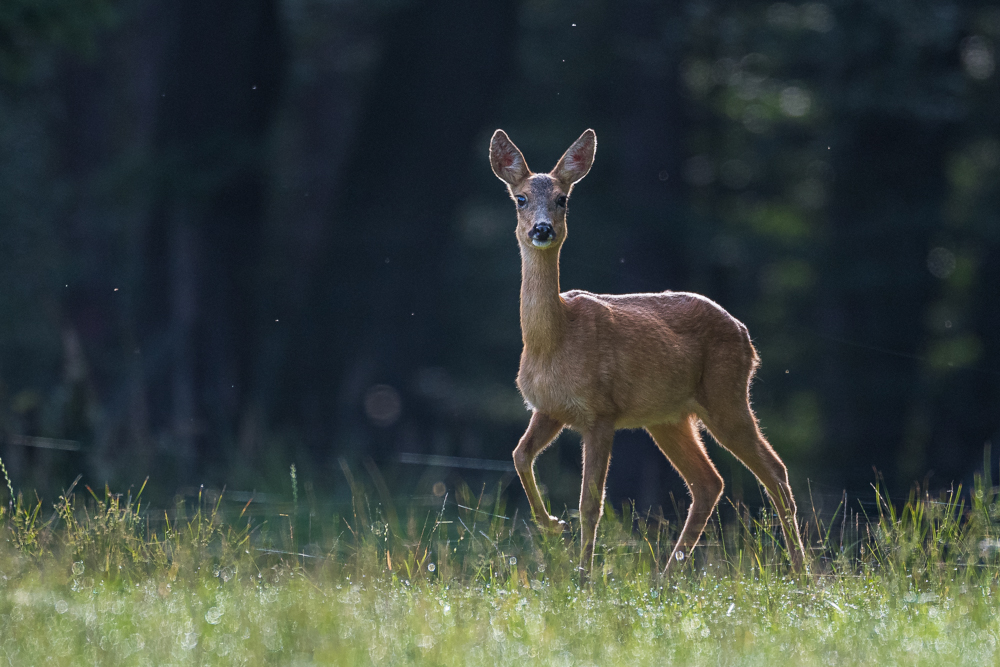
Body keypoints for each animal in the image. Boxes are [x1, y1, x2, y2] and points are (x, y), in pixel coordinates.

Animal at [492, 129, 812, 580]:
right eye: (520, 197)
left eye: (563, 199)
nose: (542, 229)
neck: (553, 340)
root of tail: (746, 335)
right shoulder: (549, 408)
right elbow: (520, 455)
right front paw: (551, 525)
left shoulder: (601, 411)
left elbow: (591, 503)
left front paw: (583, 577)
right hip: (668, 416)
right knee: (709, 482)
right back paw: (666, 578)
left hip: (726, 394)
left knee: (774, 472)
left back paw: (801, 575)